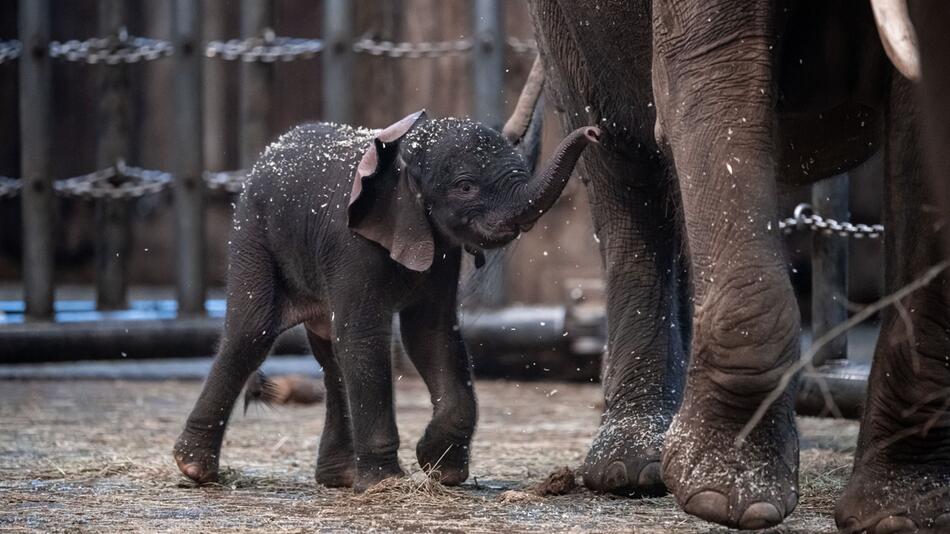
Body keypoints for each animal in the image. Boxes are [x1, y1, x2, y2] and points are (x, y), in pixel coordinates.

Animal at [175, 111, 600, 492]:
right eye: (465, 187)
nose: (594, 131)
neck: (403, 155)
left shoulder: (440, 250)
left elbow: (430, 334)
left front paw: (440, 469)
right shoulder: (351, 244)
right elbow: (366, 336)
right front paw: (387, 484)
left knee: (330, 353)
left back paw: (340, 479)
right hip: (253, 232)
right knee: (253, 331)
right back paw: (194, 469)